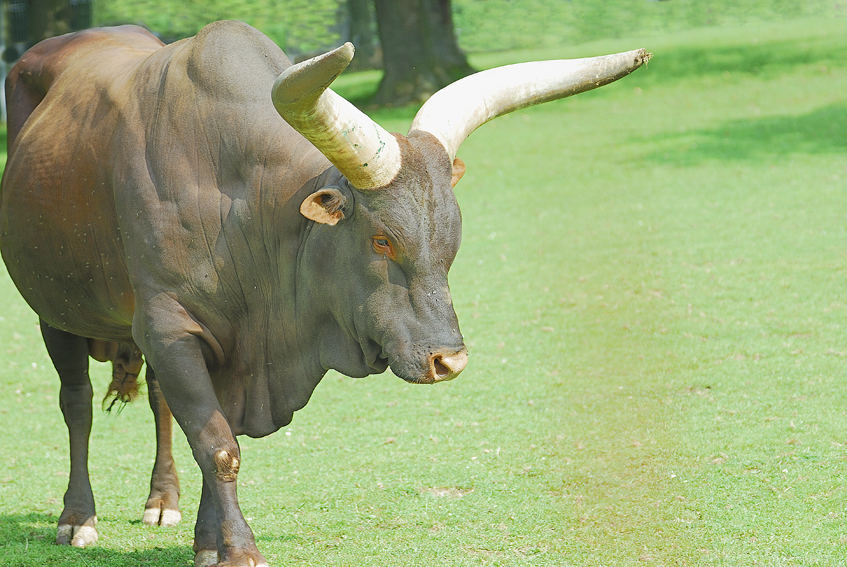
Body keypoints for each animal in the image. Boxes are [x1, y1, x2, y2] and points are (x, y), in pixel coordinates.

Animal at [0, 20, 648, 567]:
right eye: (382, 240)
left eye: (452, 236)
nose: (449, 360)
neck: (244, 208)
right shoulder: (168, 327)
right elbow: (218, 445)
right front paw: (239, 550)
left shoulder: (215, 348)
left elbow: (208, 432)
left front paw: (208, 543)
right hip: (55, 309)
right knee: (77, 403)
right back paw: (77, 517)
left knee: (159, 403)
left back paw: (163, 502)